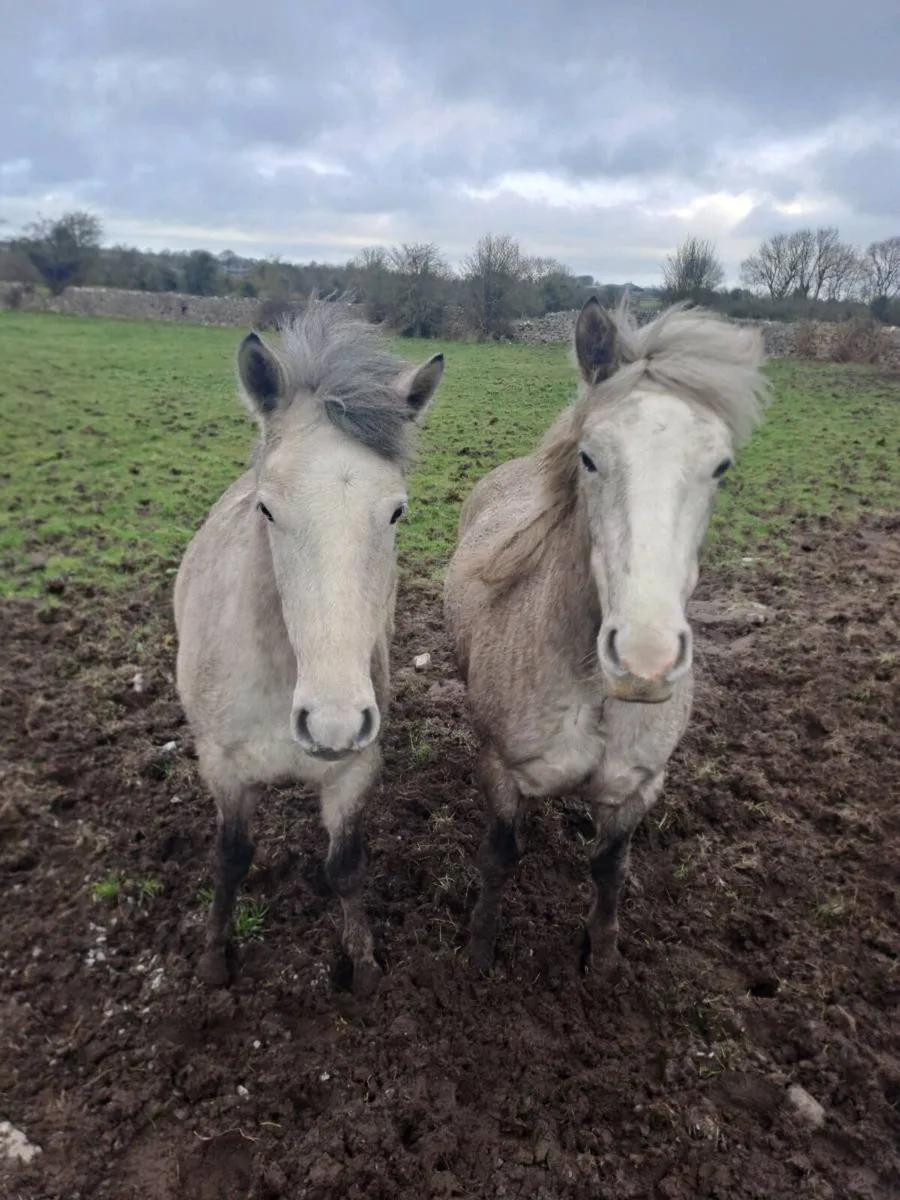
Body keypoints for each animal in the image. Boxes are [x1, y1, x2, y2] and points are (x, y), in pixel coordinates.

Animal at [173, 299, 445, 993]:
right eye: (268, 509)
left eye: (397, 511)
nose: (332, 723)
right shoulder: (222, 767)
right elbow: (230, 858)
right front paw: (214, 959)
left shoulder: (354, 770)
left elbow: (345, 866)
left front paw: (363, 965)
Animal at [443, 295, 770, 975]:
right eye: (590, 457)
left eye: (721, 466)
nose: (645, 662)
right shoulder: (501, 772)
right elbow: (497, 860)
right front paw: (480, 954)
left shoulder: (638, 790)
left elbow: (610, 870)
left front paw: (603, 958)